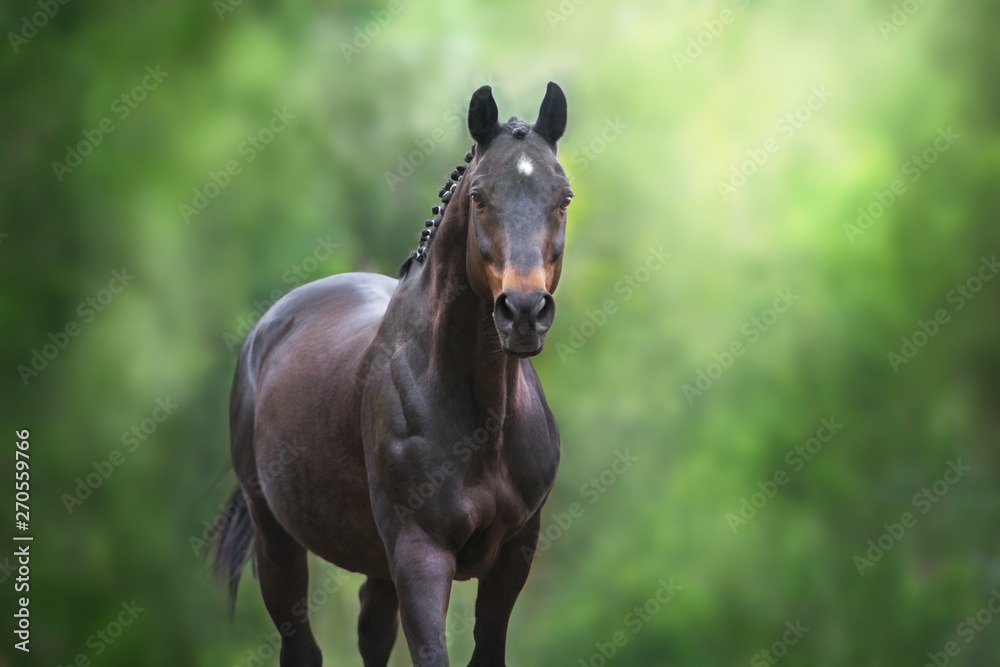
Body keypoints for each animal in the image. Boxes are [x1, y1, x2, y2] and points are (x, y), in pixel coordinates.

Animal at [215, 83, 576, 667]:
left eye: (563, 197)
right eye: (478, 196)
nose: (523, 311)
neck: (482, 418)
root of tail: (264, 333)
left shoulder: (514, 554)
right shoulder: (419, 554)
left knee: (371, 633)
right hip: (278, 545)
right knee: (302, 647)